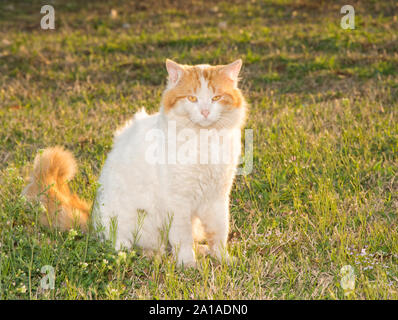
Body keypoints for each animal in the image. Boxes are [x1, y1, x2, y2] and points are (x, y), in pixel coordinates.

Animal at [23, 58, 247, 268]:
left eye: (216, 98)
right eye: (192, 98)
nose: (205, 112)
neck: (204, 140)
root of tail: (93, 224)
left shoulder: (217, 197)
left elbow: (219, 232)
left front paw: (222, 258)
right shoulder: (179, 201)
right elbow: (182, 238)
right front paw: (187, 263)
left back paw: (200, 251)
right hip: (129, 227)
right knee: (133, 248)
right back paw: (152, 256)